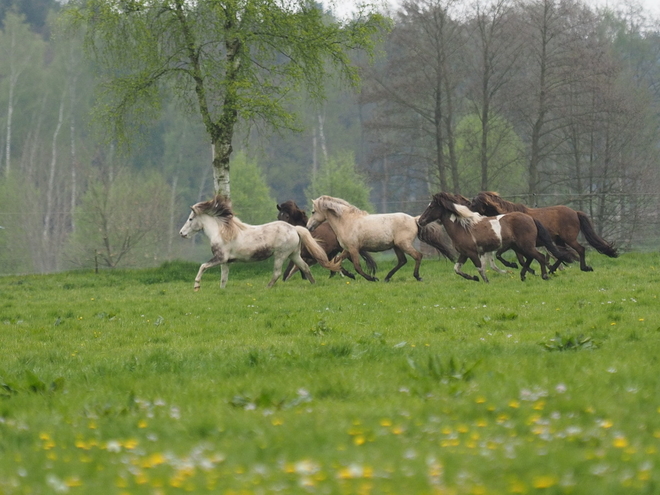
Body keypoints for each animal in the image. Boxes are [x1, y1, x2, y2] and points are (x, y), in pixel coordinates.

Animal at [179, 196, 340, 290]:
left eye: (191, 219)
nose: (181, 233)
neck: (222, 232)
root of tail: (294, 228)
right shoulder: (226, 262)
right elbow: (223, 279)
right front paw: (221, 291)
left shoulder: (220, 258)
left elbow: (203, 266)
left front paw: (196, 286)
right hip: (294, 255)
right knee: (305, 267)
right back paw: (314, 284)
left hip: (280, 255)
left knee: (277, 273)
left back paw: (267, 287)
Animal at [306, 197, 452, 284]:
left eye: (313, 212)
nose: (308, 227)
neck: (346, 221)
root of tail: (414, 219)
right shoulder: (348, 249)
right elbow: (336, 261)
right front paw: (350, 275)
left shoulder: (353, 249)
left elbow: (357, 266)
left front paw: (372, 278)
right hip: (397, 246)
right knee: (402, 261)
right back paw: (387, 278)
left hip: (403, 244)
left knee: (418, 256)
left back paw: (417, 276)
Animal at [418, 193, 576, 282]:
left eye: (431, 207)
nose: (420, 221)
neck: (462, 227)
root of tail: (530, 218)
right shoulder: (464, 253)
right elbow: (457, 269)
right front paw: (473, 278)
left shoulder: (473, 253)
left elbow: (481, 268)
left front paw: (485, 281)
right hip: (520, 247)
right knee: (533, 258)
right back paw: (524, 275)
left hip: (526, 246)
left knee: (540, 257)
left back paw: (544, 275)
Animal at [470, 193, 620, 272]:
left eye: (474, 203)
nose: (468, 213)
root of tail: (575, 212)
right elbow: (520, 259)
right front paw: (528, 269)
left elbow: (518, 258)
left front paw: (526, 269)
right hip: (559, 240)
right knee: (562, 253)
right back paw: (552, 268)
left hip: (569, 238)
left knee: (579, 249)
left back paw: (584, 267)